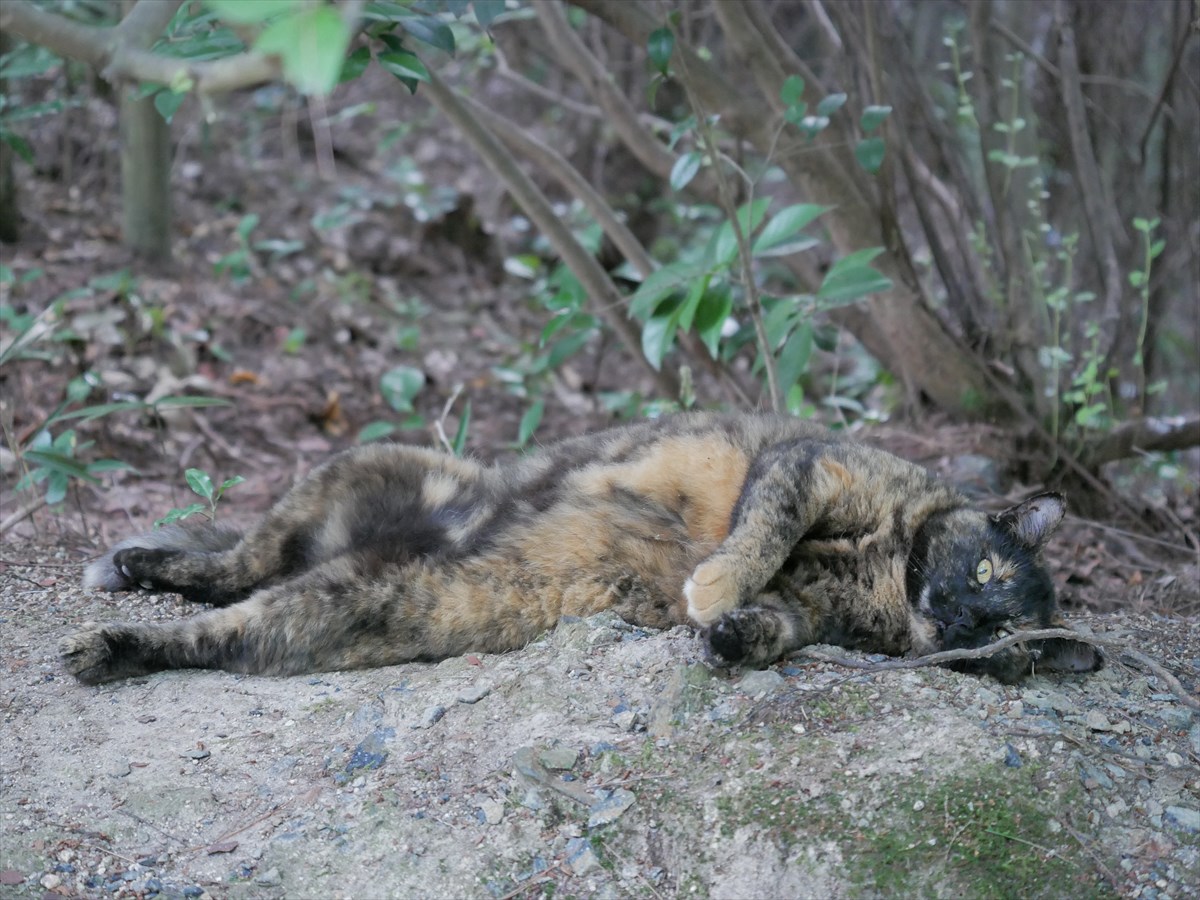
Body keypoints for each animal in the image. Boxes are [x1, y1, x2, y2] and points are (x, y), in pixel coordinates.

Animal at [63, 412, 1101, 685]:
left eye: (1002, 641)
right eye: (987, 569)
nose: (959, 618)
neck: (889, 575)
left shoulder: (813, 613)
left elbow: (776, 626)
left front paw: (730, 635)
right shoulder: (812, 467)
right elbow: (761, 535)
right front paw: (714, 586)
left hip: (357, 604)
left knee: (231, 618)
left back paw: (122, 635)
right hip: (367, 465)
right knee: (237, 564)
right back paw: (129, 592)